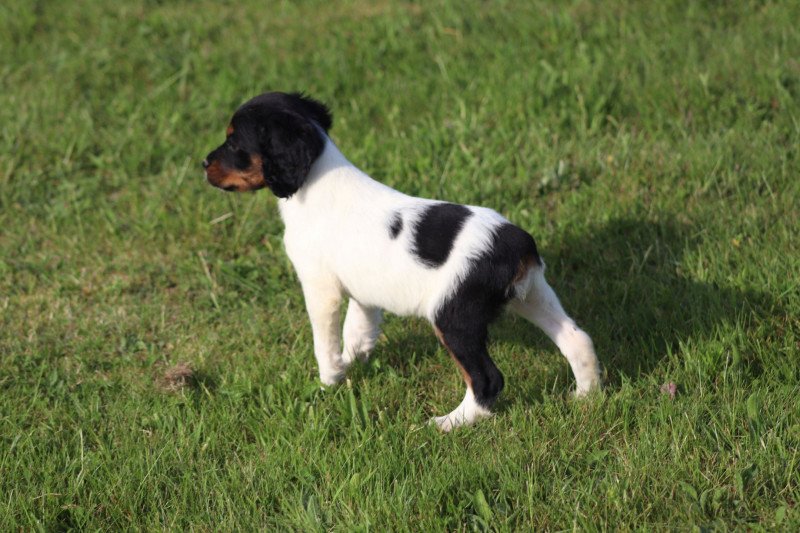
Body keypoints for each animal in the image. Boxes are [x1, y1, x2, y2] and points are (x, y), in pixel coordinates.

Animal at [202, 92, 600, 432]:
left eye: (234, 143)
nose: (204, 163)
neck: (316, 178)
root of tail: (517, 245)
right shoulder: (363, 289)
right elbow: (358, 326)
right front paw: (354, 359)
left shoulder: (319, 287)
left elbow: (324, 340)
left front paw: (330, 379)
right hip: (533, 295)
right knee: (576, 338)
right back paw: (586, 396)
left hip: (454, 317)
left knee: (487, 379)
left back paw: (449, 423)